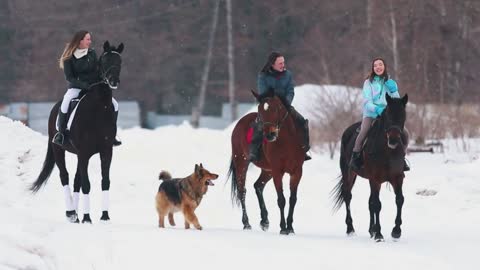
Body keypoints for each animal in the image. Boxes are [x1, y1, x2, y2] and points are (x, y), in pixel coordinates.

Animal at [30, 40, 124, 224]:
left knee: (75, 180)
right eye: (104, 61)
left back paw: (76, 215)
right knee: (65, 177)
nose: (113, 81)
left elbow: (105, 181)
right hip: (59, 150)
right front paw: (87, 218)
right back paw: (71, 213)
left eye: (120, 61)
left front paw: (104, 216)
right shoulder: (84, 153)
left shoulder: (106, 151)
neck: (99, 108)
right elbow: (86, 184)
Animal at [228, 89, 304, 234]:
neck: (286, 142)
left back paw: (264, 221)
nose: (269, 134)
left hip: (267, 170)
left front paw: (290, 227)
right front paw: (283, 228)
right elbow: (281, 200)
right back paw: (247, 224)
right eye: (260, 110)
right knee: (242, 191)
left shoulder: (297, 172)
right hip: (241, 162)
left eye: (276, 109)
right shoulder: (277, 171)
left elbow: (293, 199)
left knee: (258, 186)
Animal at [334, 94, 408, 242]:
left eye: (403, 116)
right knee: (348, 196)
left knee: (369, 202)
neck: (387, 152)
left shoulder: (397, 178)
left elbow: (399, 200)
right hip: (348, 173)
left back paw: (371, 230)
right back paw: (351, 229)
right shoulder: (375, 179)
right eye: (388, 115)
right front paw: (379, 234)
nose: (393, 140)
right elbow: (377, 204)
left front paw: (396, 231)